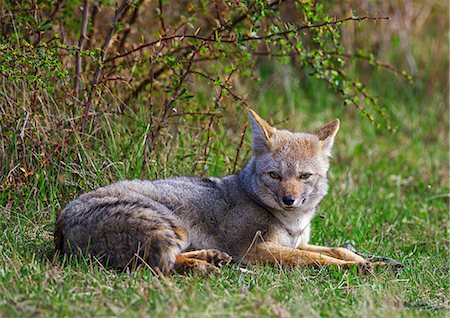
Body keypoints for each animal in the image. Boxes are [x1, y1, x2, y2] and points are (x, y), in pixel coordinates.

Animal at [55, 109, 376, 274]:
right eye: (274, 175)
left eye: (303, 176)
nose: (289, 199)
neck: (294, 223)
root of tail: (61, 222)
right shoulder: (253, 250)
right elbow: (317, 259)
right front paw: (354, 268)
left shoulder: (295, 243)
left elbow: (337, 249)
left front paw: (364, 260)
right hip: (175, 227)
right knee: (161, 265)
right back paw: (205, 266)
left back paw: (212, 258)